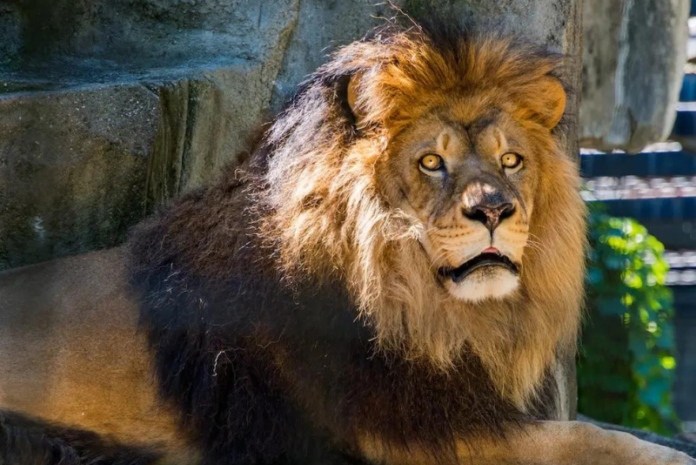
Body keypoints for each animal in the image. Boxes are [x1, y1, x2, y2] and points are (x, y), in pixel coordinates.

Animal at [0, 19, 694, 465]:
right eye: (432, 162)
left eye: (512, 161)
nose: (495, 209)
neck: (427, 312)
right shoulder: (402, 435)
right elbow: (586, 438)